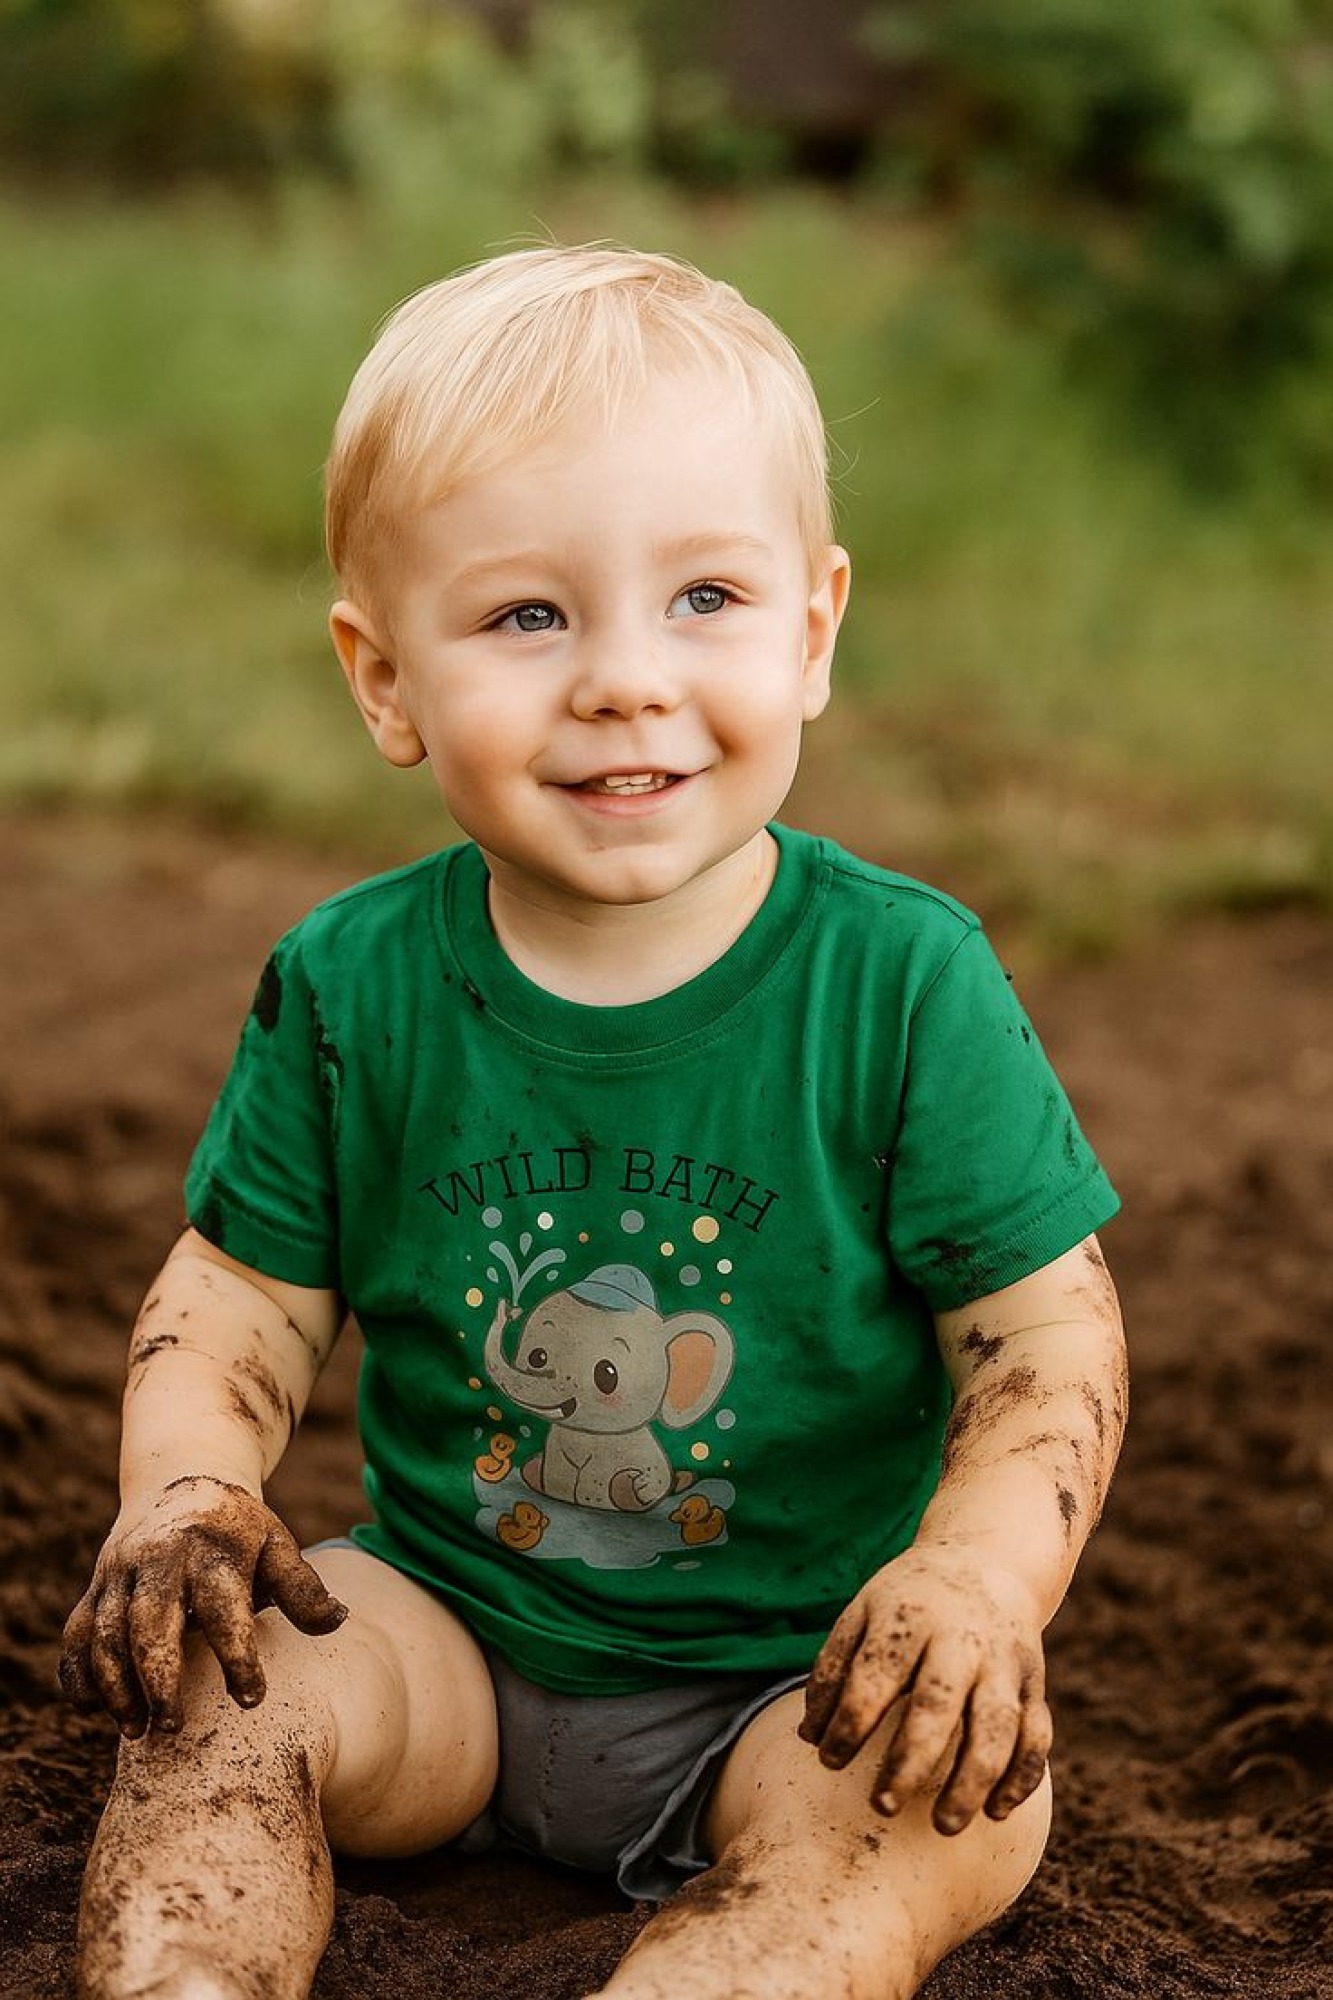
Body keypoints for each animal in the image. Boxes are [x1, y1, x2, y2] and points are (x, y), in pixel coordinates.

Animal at [483, 1263, 734, 1513]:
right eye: (537, 1357)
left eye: (607, 1374)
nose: (509, 1311)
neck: (586, 1433)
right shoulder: (556, 1449)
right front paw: (560, 1493)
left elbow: (599, 1478)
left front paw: (594, 1500)